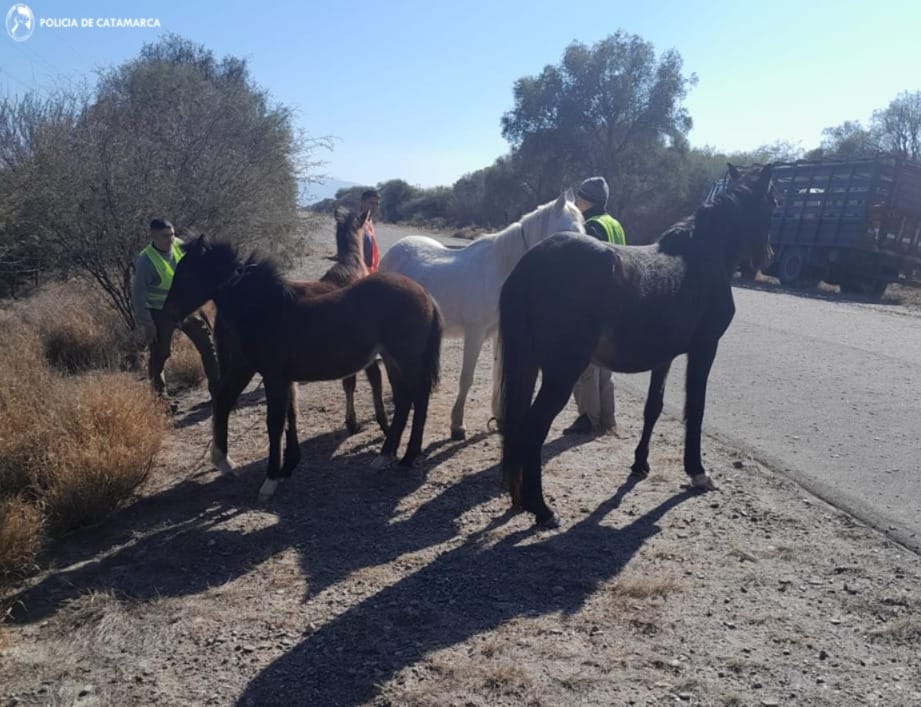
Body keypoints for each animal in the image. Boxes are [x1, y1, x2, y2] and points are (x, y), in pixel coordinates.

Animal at [164, 230, 442, 500]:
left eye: (186, 273)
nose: (169, 313)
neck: (263, 309)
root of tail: (426, 294)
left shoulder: (274, 377)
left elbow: (274, 423)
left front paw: (270, 481)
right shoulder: (280, 377)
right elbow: (288, 417)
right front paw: (284, 469)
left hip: (406, 359)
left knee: (417, 398)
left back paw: (403, 456)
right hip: (394, 361)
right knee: (406, 399)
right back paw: (389, 456)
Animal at [380, 191, 584, 440]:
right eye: (567, 230)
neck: (501, 271)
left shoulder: (500, 333)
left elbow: (499, 376)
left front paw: (500, 419)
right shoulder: (475, 333)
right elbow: (466, 378)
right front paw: (457, 425)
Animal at [500, 165, 772, 524]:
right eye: (773, 202)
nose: (766, 258)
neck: (702, 257)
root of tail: (531, 265)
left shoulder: (664, 357)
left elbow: (653, 408)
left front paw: (640, 464)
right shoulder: (704, 349)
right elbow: (696, 408)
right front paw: (697, 472)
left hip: (528, 364)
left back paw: (521, 499)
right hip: (561, 372)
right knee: (532, 429)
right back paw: (542, 510)